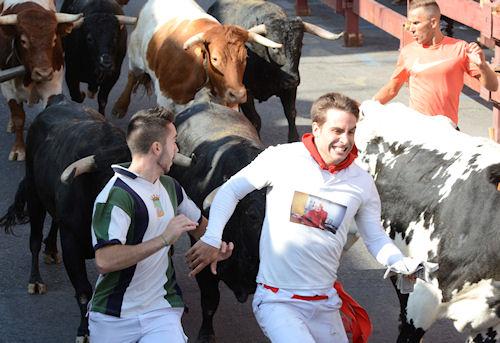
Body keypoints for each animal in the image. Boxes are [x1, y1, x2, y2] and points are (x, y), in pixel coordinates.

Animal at [0, 93, 131, 342]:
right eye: (109, 176)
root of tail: (59, 100)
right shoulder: (71, 243)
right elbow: (83, 291)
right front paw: (84, 332)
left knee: (53, 224)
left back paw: (51, 250)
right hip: (34, 194)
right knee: (34, 238)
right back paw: (35, 280)